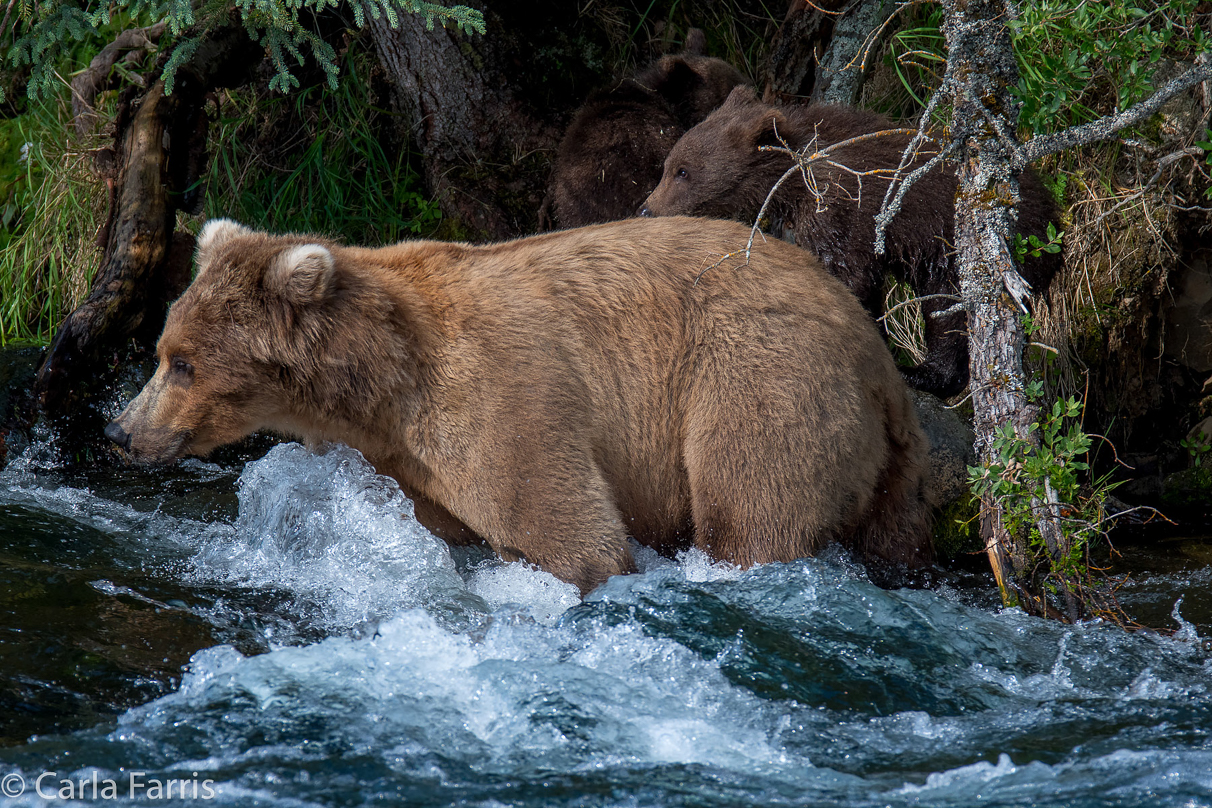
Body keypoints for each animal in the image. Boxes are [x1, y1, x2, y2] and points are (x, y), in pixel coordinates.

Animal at [106, 214, 935, 593]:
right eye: (163, 350)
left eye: (182, 363)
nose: (120, 431)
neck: (382, 391)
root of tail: (876, 350)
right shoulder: (406, 461)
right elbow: (440, 528)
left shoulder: (502, 397)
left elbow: (563, 530)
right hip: (882, 459)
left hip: (759, 381)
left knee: (750, 509)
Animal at [639, 87, 1056, 399]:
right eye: (669, 165)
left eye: (683, 171)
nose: (646, 209)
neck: (795, 182)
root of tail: (1052, 215)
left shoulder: (845, 211)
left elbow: (847, 274)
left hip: (962, 250)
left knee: (950, 313)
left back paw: (921, 372)